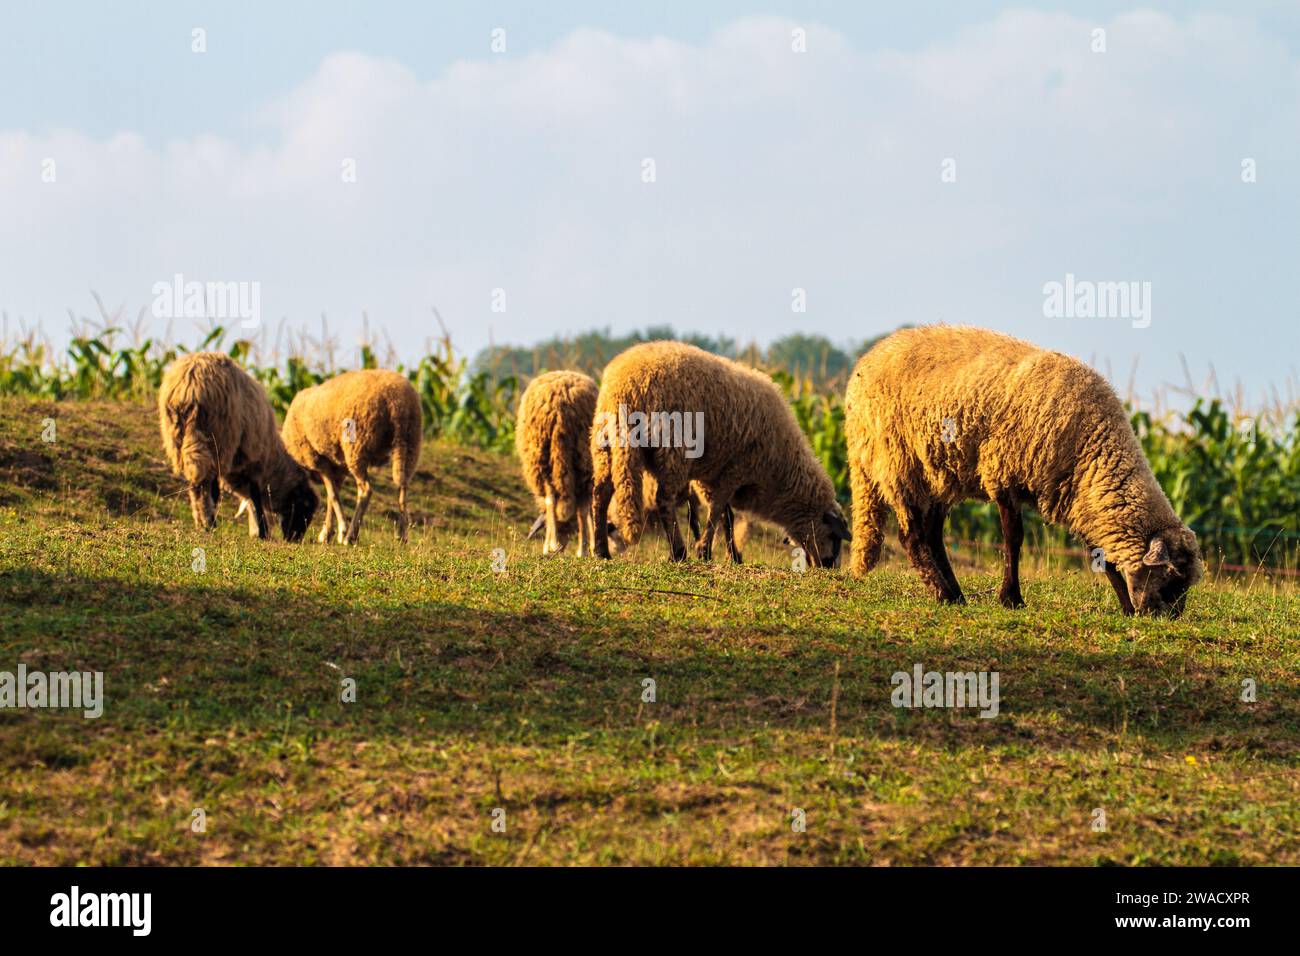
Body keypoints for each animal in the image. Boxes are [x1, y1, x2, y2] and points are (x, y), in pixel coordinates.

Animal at [157, 353, 319, 546]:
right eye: (305, 508)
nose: (294, 539)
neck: (272, 460)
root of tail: (188, 384)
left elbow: (247, 498)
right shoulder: (253, 461)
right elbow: (254, 497)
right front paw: (262, 532)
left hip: (180, 437)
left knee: (196, 483)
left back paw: (201, 521)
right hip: (217, 440)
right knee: (205, 484)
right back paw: (209, 523)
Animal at [282, 369, 423, 546]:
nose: (292, 537)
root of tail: (398, 401)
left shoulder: (318, 460)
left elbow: (333, 496)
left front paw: (340, 531)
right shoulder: (338, 468)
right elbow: (332, 497)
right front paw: (327, 533)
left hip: (356, 446)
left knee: (366, 490)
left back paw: (351, 536)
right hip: (410, 443)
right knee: (402, 485)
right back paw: (402, 535)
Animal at [592, 343, 852, 564]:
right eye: (834, 536)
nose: (828, 567)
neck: (781, 471)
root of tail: (624, 386)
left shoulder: (715, 473)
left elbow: (725, 516)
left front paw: (731, 556)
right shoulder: (736, 468)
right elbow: (717, 510)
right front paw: (705, 551)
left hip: (605, 447)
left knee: (600, 493)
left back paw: (601, 550)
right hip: (672, 449)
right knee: (663, 500)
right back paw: (679, 553)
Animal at [847, 325, 1201, 616]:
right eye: (1172, 577)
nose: (1169, 618)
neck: (1092, 446)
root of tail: (864, 365)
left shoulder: (1080, 494)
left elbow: (1103, 555)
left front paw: (1126, 607)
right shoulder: (1004, 473)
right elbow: (1014, 539)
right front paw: (1011, 598)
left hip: (938, 472)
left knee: (933, 535)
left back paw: (955, 594)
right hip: (898, 463)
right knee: (912, 537)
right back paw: (944, 593)